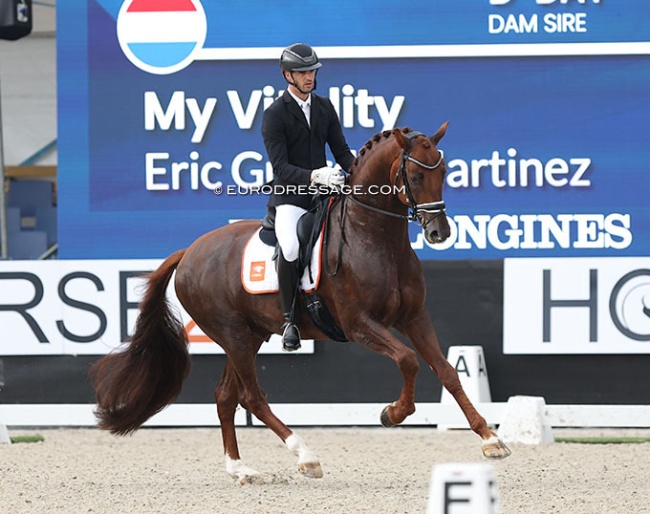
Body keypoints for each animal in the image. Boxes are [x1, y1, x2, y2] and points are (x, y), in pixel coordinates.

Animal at [88, 122, 508, 482]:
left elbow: (448, 371)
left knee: (226, 396)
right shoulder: (359, 324)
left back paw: (240, 469)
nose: (439, 232)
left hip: (248, 335)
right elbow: (408, 360)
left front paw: (490, 439)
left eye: (445, 172)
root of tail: (190, 251)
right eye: (417, 176)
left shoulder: (415, 317)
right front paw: (393, 413)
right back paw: (306, 456)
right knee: (252, 397)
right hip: (232, 334)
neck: (375, 238)